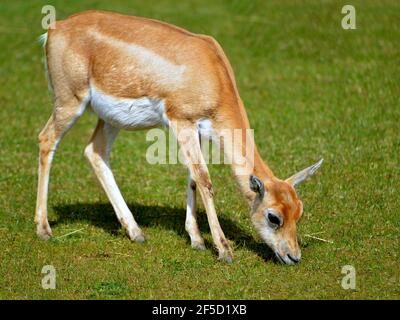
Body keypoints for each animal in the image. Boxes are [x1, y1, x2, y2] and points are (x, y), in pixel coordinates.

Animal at [36, 10, 324, 264]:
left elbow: (193, 178)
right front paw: (224, 250)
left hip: (110, 119)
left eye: (299, 211)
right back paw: (44, 229)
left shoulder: (199, 130)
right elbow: (205, 179)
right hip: (70, 101)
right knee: (46, 139)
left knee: (95, 152)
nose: (293, 257)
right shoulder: (180, 122)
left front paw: (196, 240)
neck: (213, 72)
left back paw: (136, 232)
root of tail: (55, 29)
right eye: (273, 217)